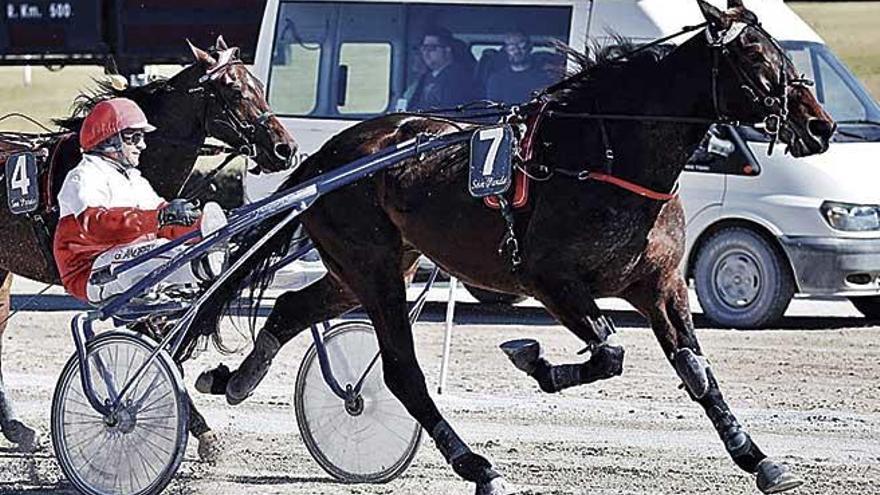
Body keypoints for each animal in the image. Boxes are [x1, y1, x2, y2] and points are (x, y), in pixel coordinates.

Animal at [0, 36, 298, 458]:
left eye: (258, 83)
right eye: (234, 89)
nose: (285, 148)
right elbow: (155, 342)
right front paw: (199, 428)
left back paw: (15, 428)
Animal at [198, 1, 832, 494]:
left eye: (782, 52)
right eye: (754, 58)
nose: (820, 125)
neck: (603, 155)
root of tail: (329, 156)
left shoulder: (659, 285)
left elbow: (697, 374)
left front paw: (760, 460)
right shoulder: (551, 281)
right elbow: (609, 352)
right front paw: (534, 359)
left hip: (364, 267)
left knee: (290, 307)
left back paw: (235, 380)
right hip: (373, 269)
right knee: (402, 373)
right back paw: (477, 466)